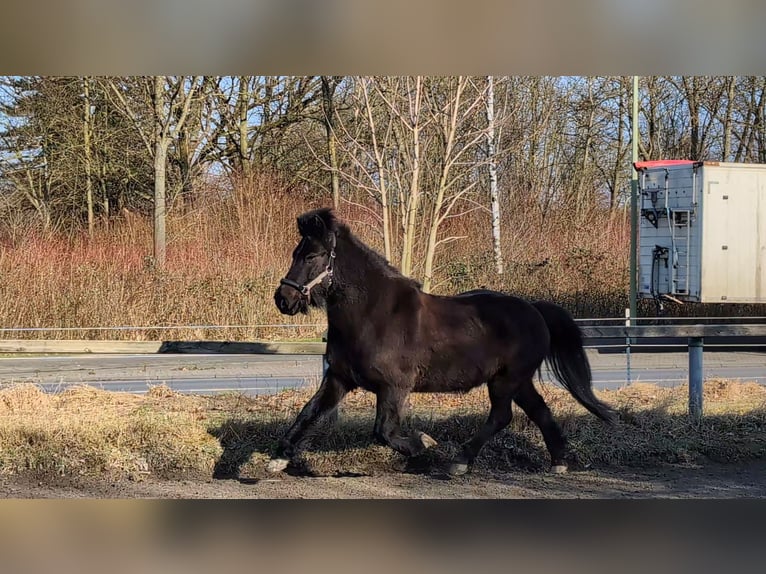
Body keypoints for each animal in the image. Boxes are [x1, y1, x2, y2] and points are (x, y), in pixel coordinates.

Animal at [270, 209, 616, 474]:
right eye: (295, 254)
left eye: (312, 255)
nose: (283, 299)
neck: (372, 315)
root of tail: (535, 309)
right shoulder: (339, 378)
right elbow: (309, 412)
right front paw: (279, 457)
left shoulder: (394, 387)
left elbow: (384, 432)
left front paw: (423, 444)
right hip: (517, 381)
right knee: (539, 411)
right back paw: (559, 461)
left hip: (507, 380)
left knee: (502, 416)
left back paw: (459, 461)